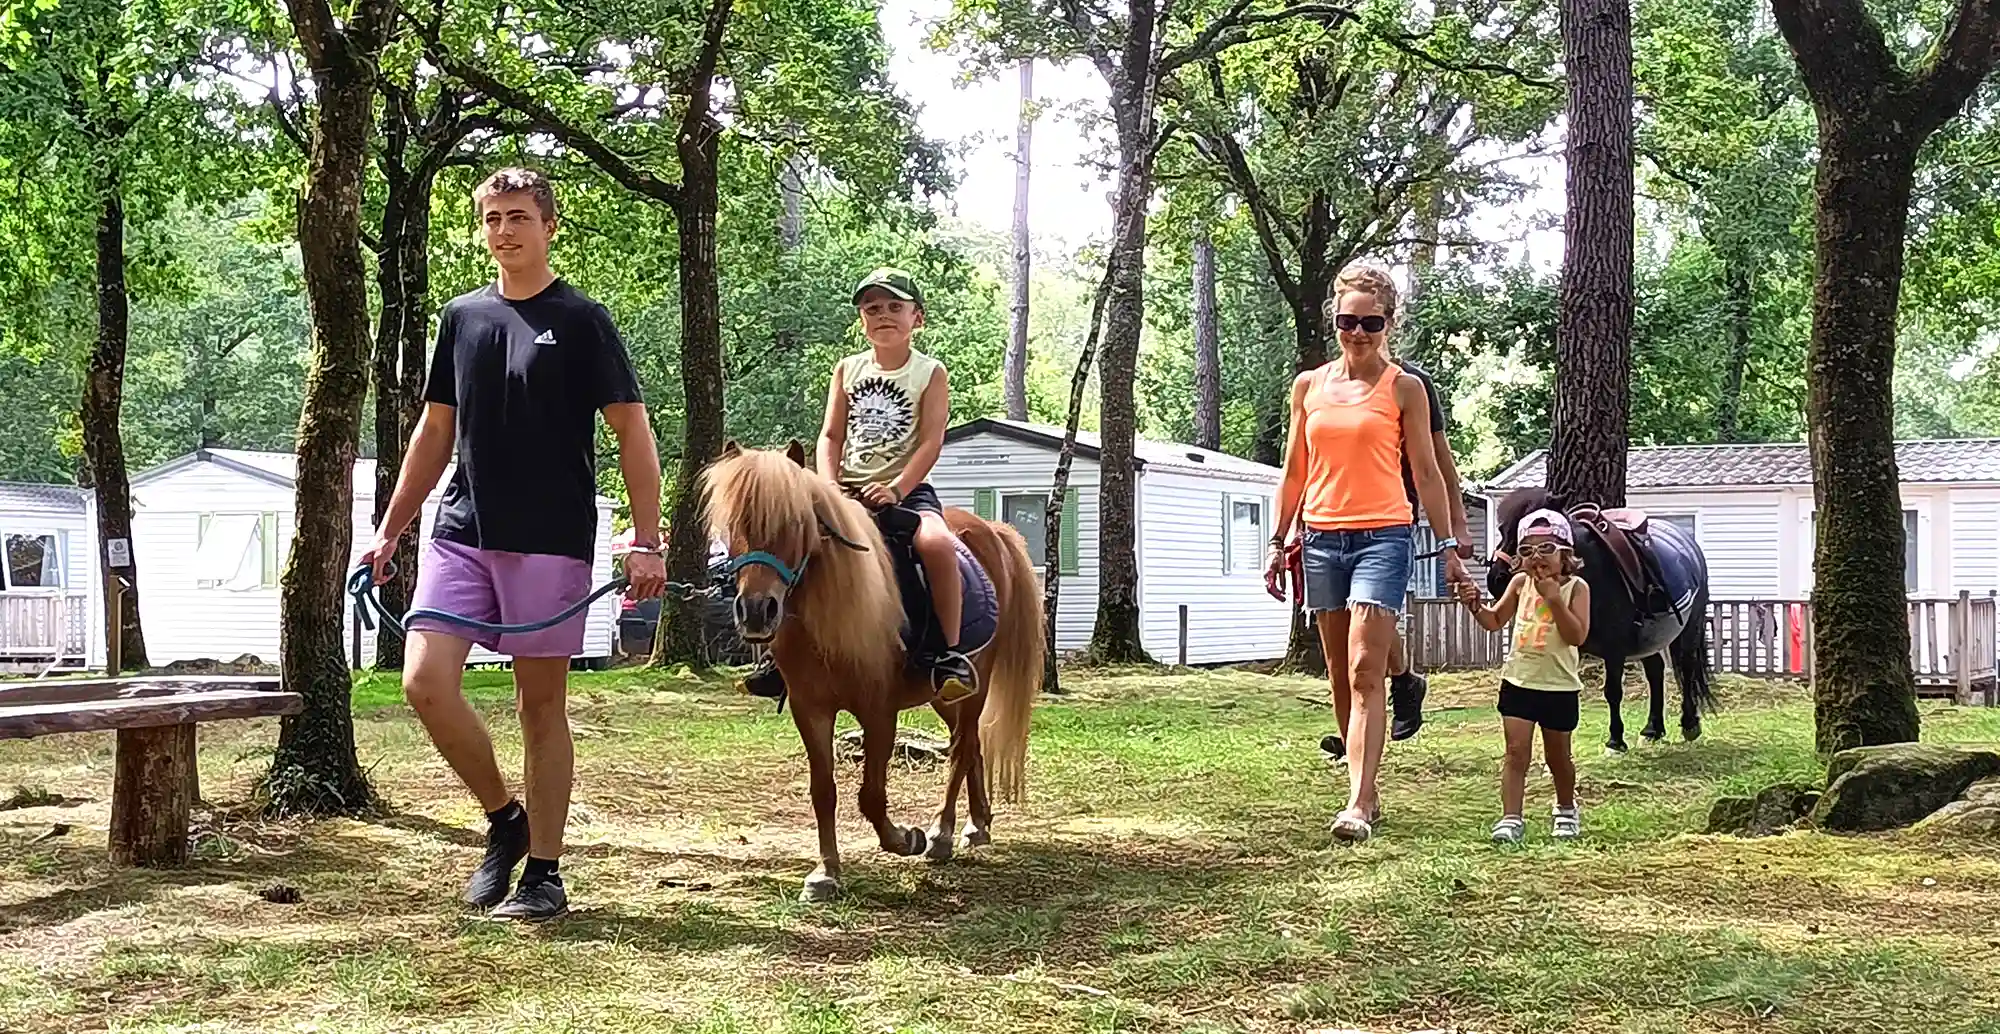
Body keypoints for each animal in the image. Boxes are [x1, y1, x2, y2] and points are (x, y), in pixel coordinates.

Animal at [704, 440, 1048, 900]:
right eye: (733, 525)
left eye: (796, 522)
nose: (757, 611)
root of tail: (992, 530)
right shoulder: (809, 709)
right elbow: (823, 790)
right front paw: (825, 873)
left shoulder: (879, 709)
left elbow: (870, 794)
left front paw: (906, 838)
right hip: (943, 696)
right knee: (971, 744)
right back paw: (978, 825)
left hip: (974, 685)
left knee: (960, 750)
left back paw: (941, 835)